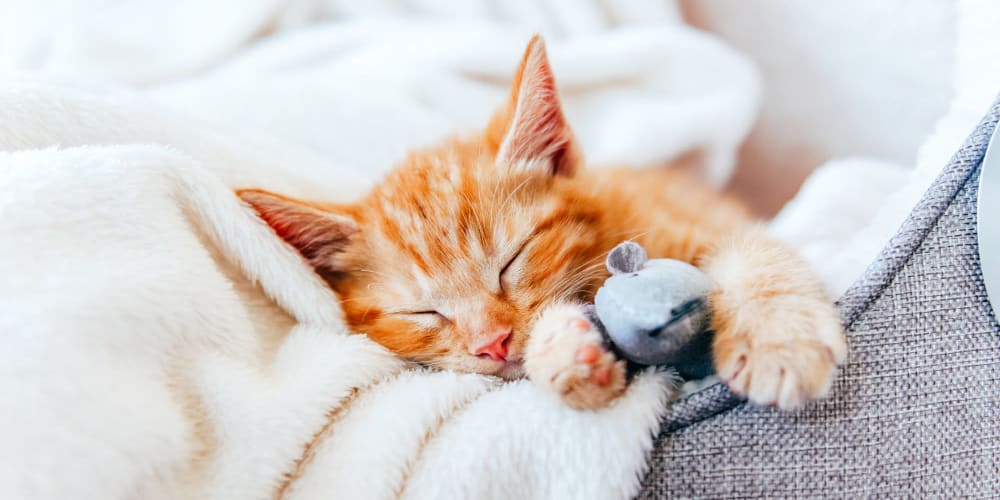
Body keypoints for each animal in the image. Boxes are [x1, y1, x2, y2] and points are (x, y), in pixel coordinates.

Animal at [240, 34, 844, 410]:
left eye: (511, 261)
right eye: (422, 312)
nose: (492, 344)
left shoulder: (708, 225)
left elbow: (756, 256)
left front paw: (778, 341)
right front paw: (566, 356)